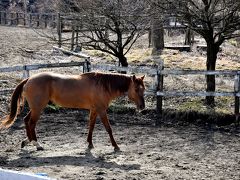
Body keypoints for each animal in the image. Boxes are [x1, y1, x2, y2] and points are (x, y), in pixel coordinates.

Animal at [0, 71, 144, 150]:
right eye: (137, 89)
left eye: (144, 89)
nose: (142, 107)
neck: (102, 85)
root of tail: (29, 79)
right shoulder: (101, 110)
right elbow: (109, 128)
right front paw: (115, 146)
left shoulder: (94, 110)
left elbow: (91, 126)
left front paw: (90, 144)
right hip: (38, 108)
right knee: (31, 123)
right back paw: (37, 144)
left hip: (36, 107)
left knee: (26, 120)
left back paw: (27, 141)